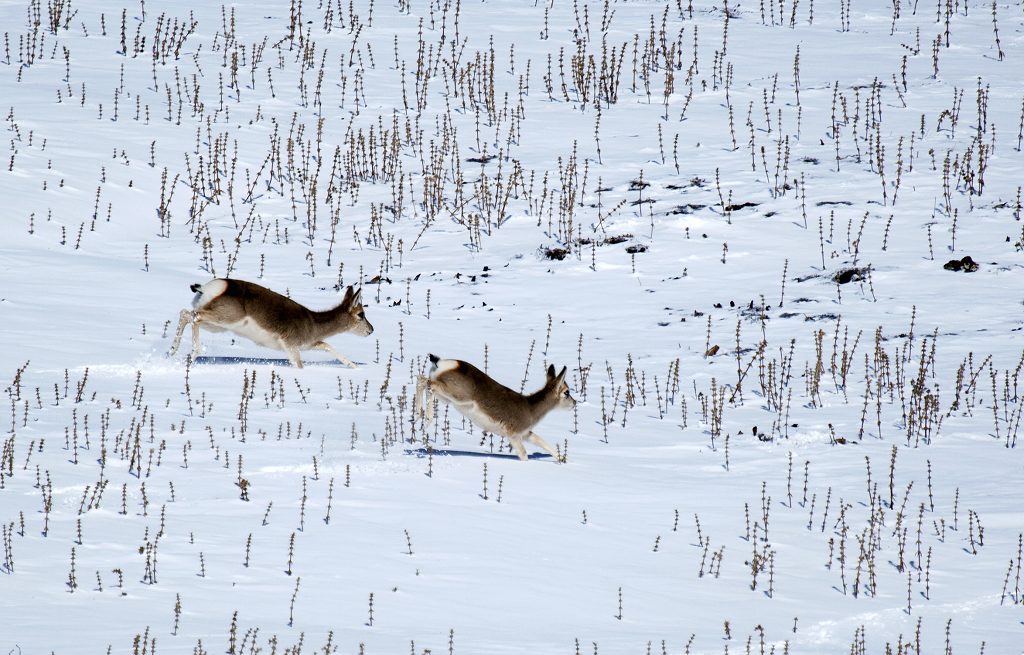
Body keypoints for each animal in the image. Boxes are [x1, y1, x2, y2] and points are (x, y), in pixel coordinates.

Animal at [169, 278, 374, 368]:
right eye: (361, 314)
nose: (371, 330)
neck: (312, 322)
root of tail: (209, 287)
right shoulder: (290, 346)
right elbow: (299, 365)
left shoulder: (309, 344)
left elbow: (327, 345)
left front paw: (354, 367)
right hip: (222, 320)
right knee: (194, 316)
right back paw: (192, 355)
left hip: (216, 326)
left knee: (185, 314)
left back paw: (173, 353)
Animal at [413, 352, 577, 460]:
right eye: (567, 392)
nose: (575, 403)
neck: (530, 408)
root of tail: (442, 363)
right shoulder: (514, 436)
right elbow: (524, 455)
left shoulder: (525, 434)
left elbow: (541, 441)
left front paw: (562, 459)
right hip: (455, 396)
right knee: (425, 382)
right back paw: (425, 420)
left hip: (446, 399)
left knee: (422, 380)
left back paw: (418, 419)